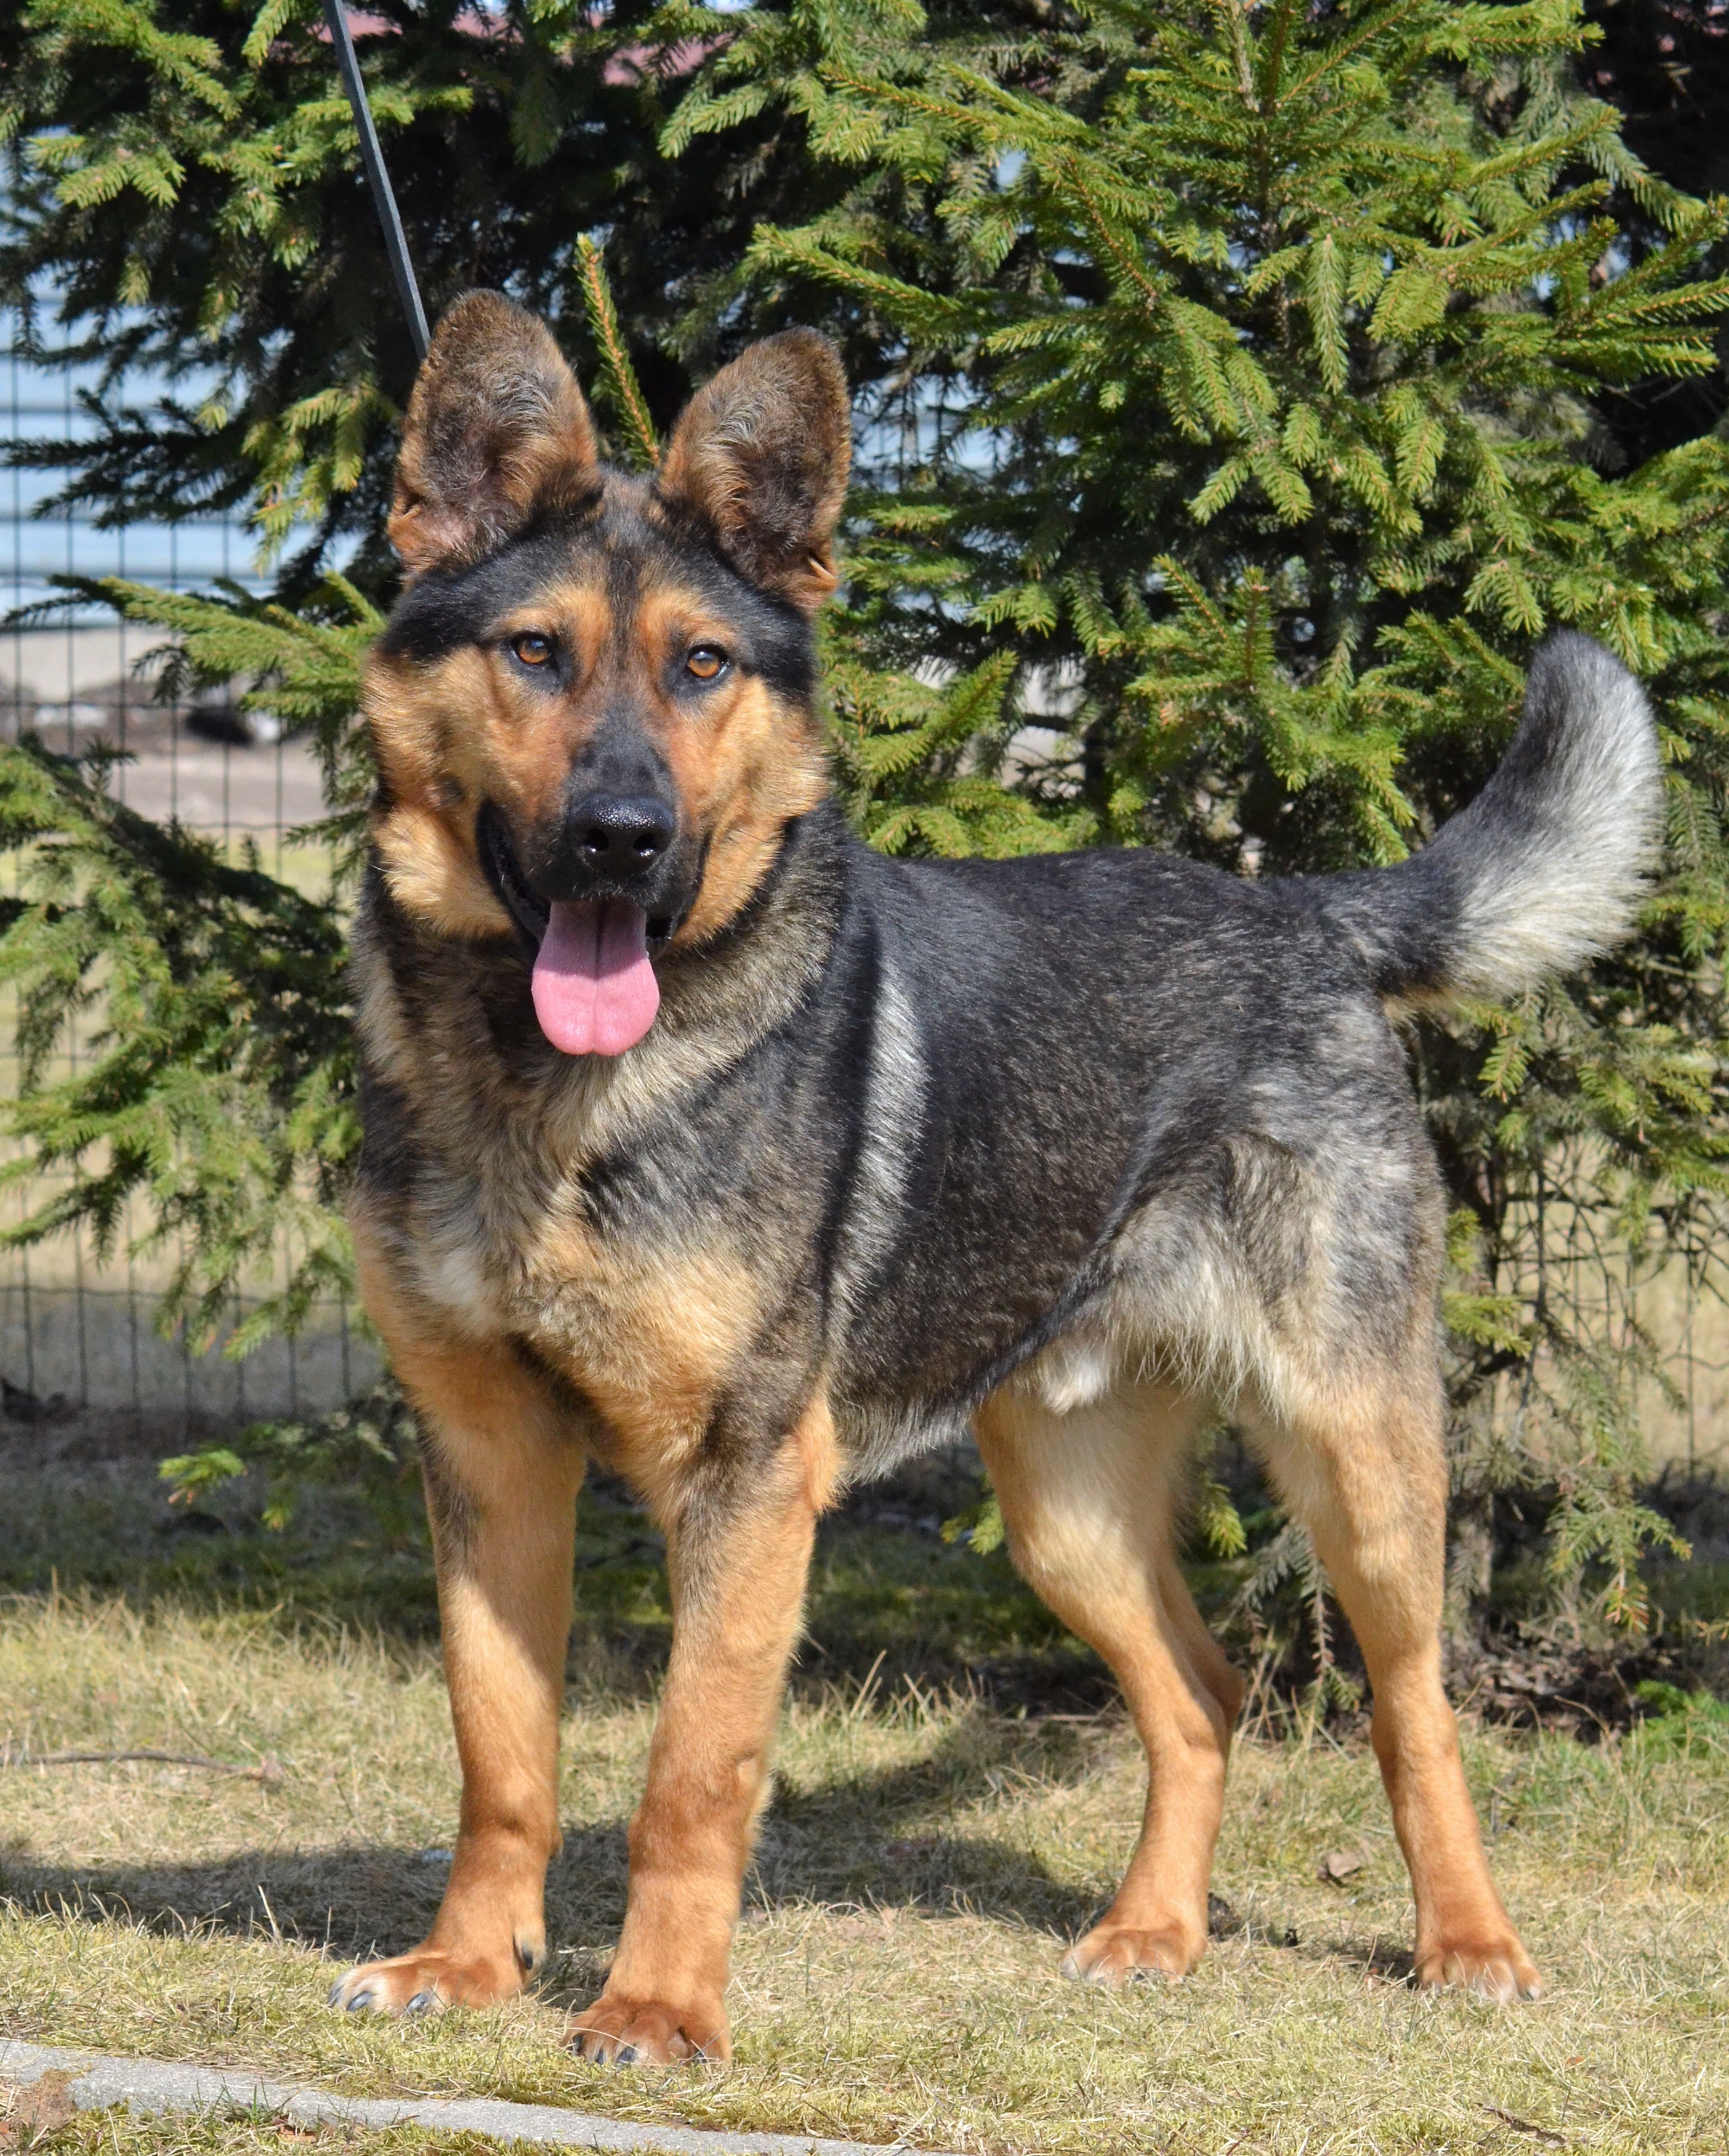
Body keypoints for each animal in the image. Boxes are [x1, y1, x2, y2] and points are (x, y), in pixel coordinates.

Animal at [333, 290, 1660, 2062]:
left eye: (703, 666)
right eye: (533, 652)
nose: (624, 837)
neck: (544, 1089)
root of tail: (1303, 913)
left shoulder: (746, 1482)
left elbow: (694, 1775)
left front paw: (661, 2010)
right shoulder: (487, 1455)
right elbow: (501, 1753)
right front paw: (469, 1966)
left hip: (1358, 1457)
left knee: (1411, 1703)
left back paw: (1469, 1943)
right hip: (1066, 1509)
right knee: (1205, 1692)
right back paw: (1155, 1930)